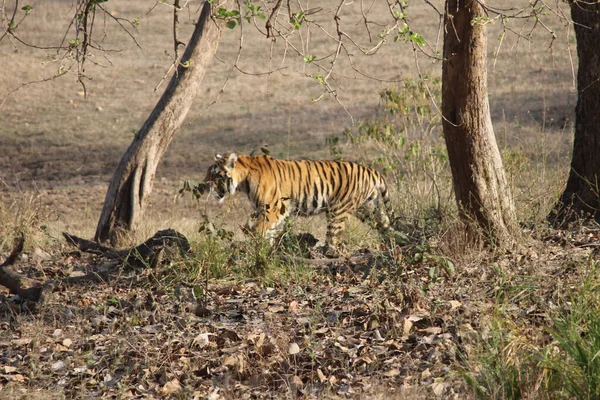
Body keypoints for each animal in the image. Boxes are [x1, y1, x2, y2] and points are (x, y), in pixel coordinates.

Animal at [205, 152, 394, 255]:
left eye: (215, 174)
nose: (204, 184)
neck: (243, 181)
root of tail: (371, 170)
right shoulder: (268, 211)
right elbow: (268, 232)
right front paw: (267, 250)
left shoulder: (273, 208)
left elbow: (259, 230)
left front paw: (257, 249)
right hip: (369, 208)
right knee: (387, 226)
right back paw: (393, 244)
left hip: (338, 210)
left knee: (333, 237)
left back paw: (327, 253)